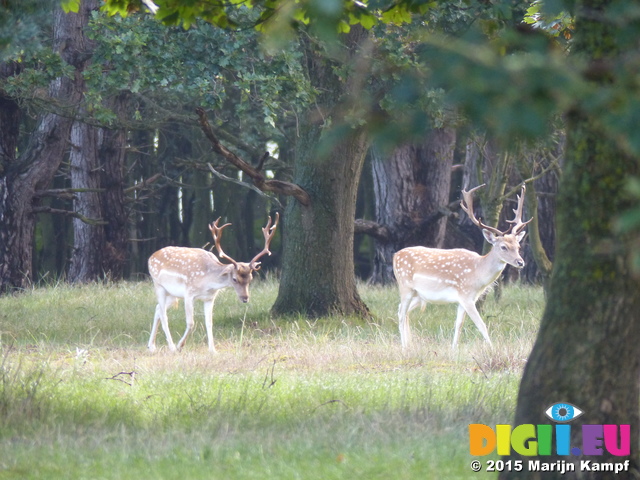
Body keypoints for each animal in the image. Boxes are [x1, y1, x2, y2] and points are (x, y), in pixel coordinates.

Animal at [150, 214, 280, 352]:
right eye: (234, 279)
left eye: (250, 278)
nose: (245, 298)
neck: (208, 283)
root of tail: (150, 257)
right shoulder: (189, 293)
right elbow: (191, 322)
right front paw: (180, 346)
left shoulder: (210, 298)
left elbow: (209, 323)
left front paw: (213, 350)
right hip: (158, 285)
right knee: (164, 315)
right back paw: (172, 347)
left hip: (173, 295)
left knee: (158, 308)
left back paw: (151, 346)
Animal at [392, 185, 532, 348]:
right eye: (503, 247)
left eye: (518, 246)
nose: (520, 262)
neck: (478, 274)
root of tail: (395, 255)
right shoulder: (466, 296)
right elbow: (481, 325)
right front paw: (492, 349)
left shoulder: (465, 299)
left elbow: (458, 324)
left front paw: (453, 349)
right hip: (405, 286)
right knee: (401, 313)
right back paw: (404, 347)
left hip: (419, 295)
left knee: (402, 310)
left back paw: (410, 344)